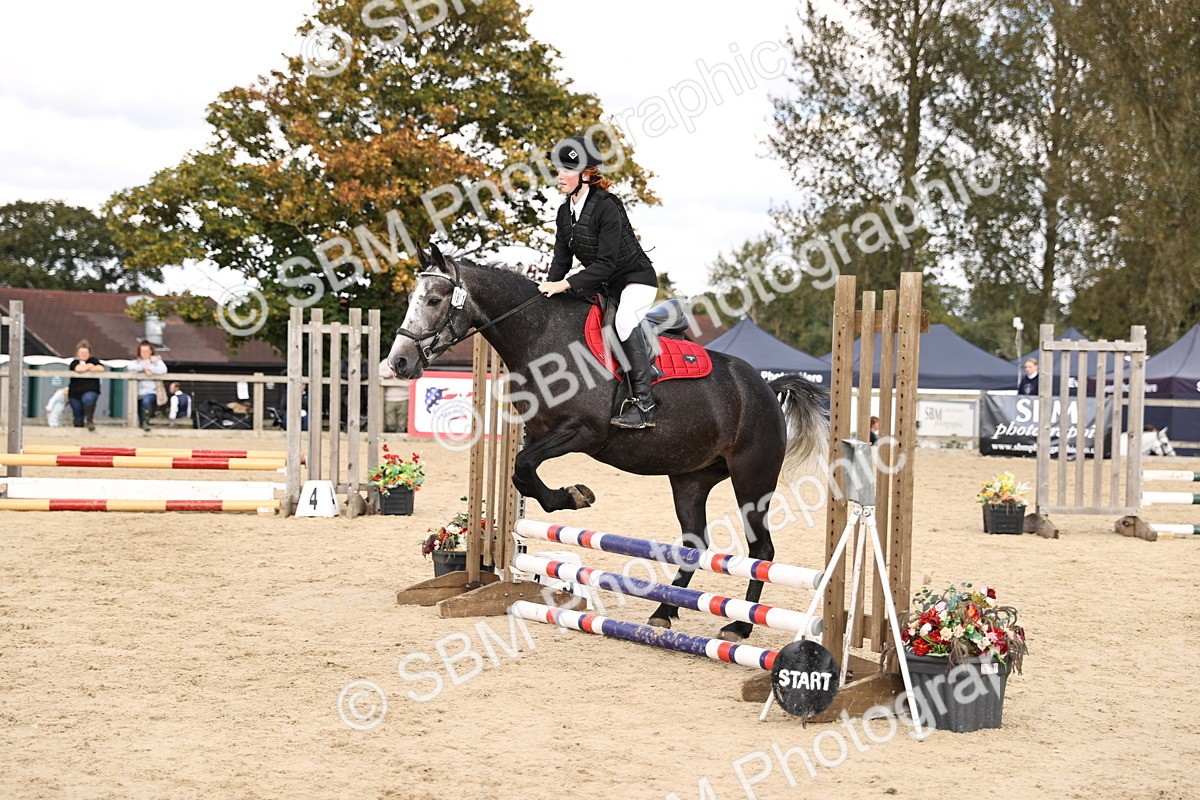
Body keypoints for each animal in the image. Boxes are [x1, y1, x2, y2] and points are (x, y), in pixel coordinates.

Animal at [387, 245, 828, 641]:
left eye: (433, 299)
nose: (399, 362)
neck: (540, 337)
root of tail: (766, 387)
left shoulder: (583, 433)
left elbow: (524, 467)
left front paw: (573, 496)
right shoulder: (539, 433)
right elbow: (520, 475)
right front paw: (572, 496)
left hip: (752, 477)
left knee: (761, 550)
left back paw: (740, 624)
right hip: (691, 479)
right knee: (695, 543)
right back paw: (663, 612)